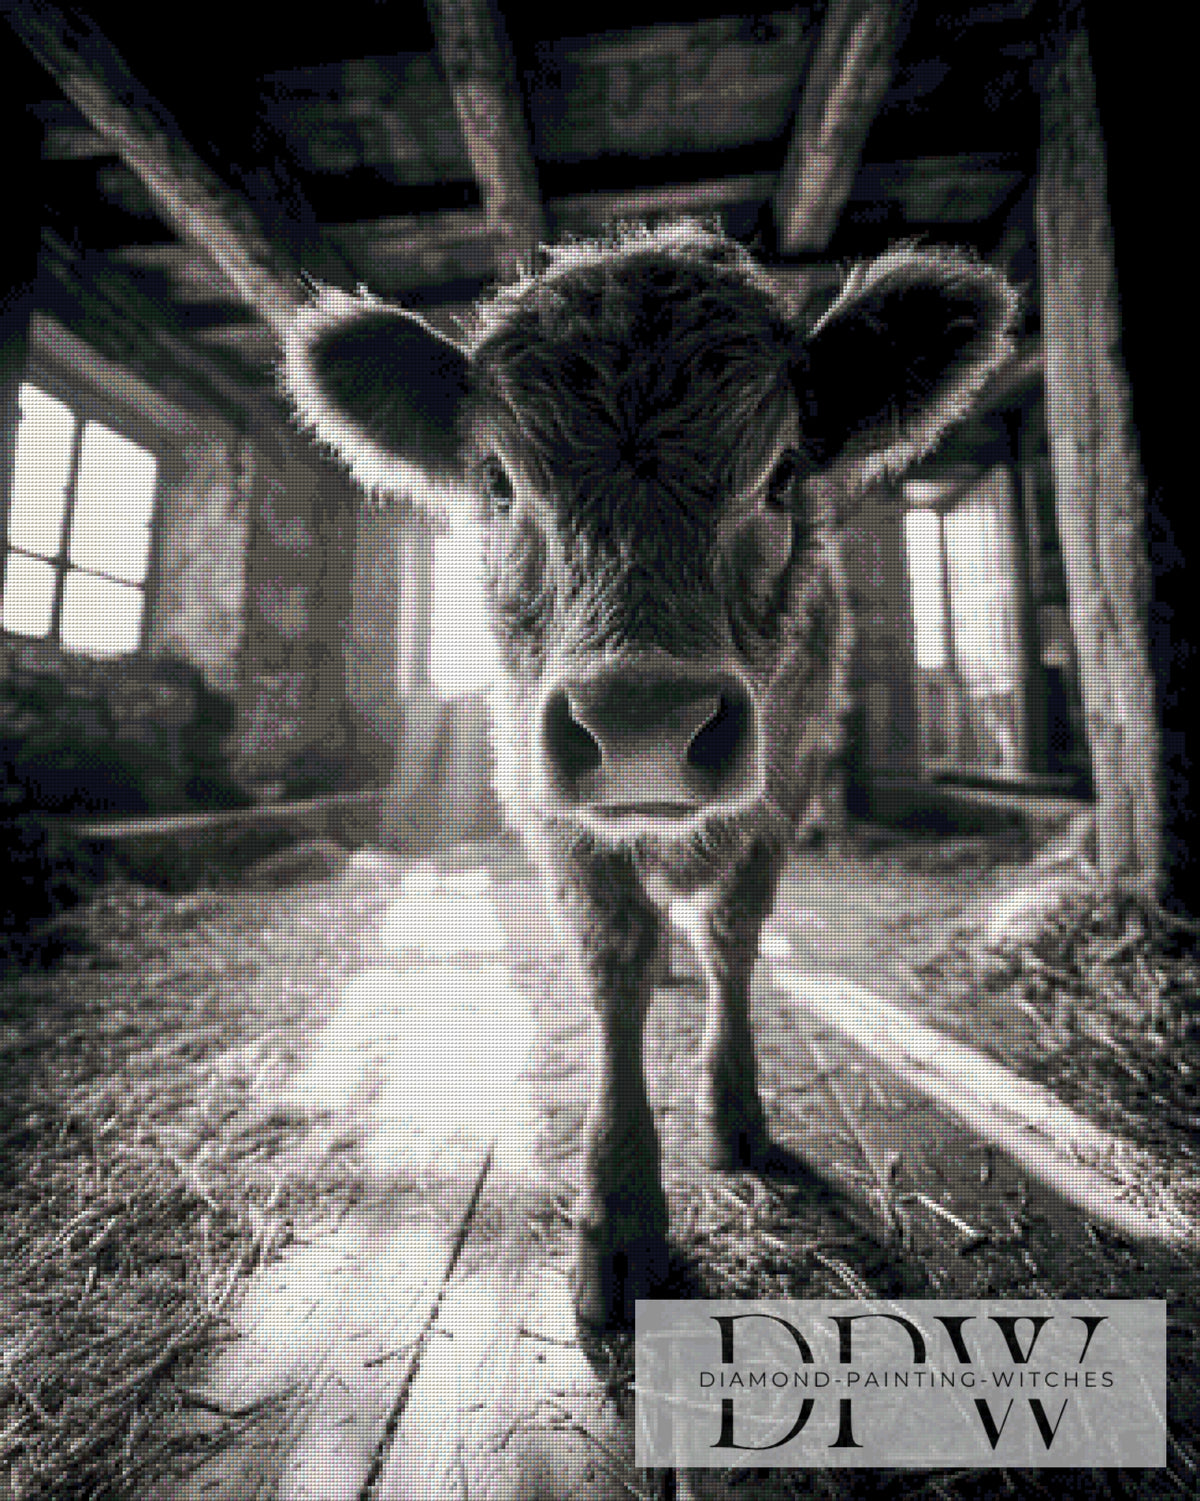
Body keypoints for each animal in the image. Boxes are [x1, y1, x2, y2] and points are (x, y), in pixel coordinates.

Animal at [281, 220, 1017, 1331]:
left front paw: (735, 1108)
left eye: (782, 473)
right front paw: (618, 1215)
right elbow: (614, 962)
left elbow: (733, 938)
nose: (641, 722)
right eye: (498, 480)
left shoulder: (783, 789)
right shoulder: (545, 800)